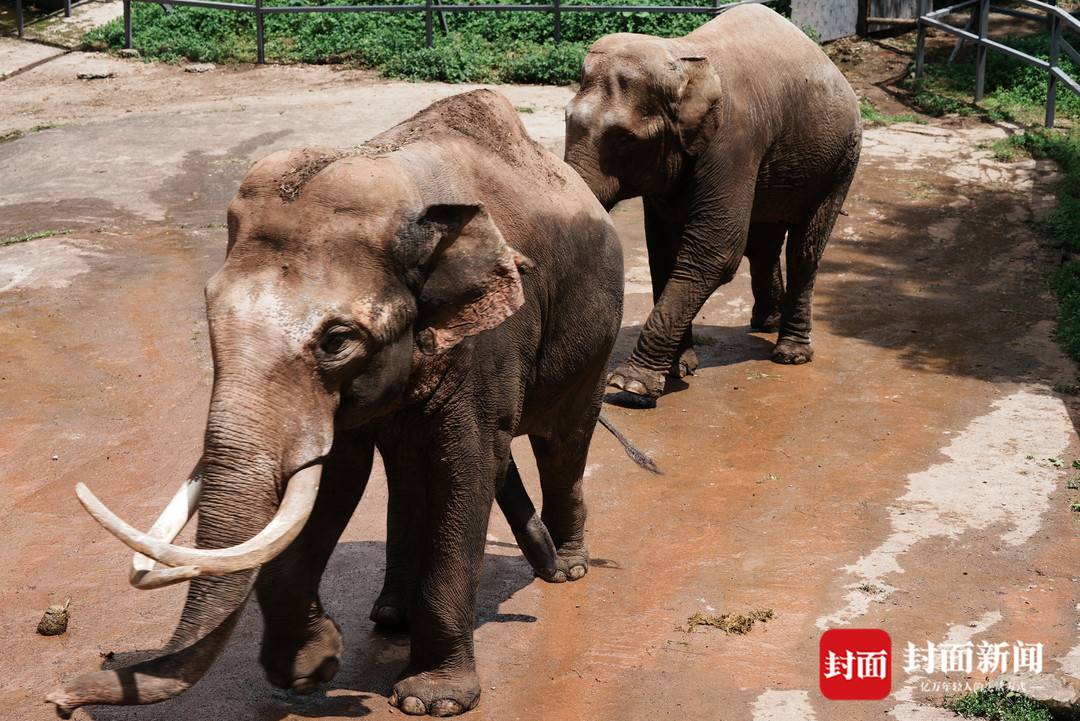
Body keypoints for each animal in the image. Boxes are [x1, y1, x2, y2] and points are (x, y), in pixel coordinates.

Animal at [46, 88, 630, 716]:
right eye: (209, 317)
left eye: (336, 341)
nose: (60, 700)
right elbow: (332, 477)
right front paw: (312, 667)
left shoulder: (489, 344)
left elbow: (466, 466)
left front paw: (431, 701)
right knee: (410, 470)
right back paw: (395, 614)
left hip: (598, 331)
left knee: (563, 440)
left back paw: (567, 568)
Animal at [565, 4, 859, 399]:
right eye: (566, 118)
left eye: (625, 139)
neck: (683, 59)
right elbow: (665, 251)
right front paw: (679, 368)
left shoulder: (733, 142)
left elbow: (713, 251)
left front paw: (632, 385)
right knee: (763, 244)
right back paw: (765, 322)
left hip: (841, 160)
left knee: (804, 249)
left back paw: (790, 353)